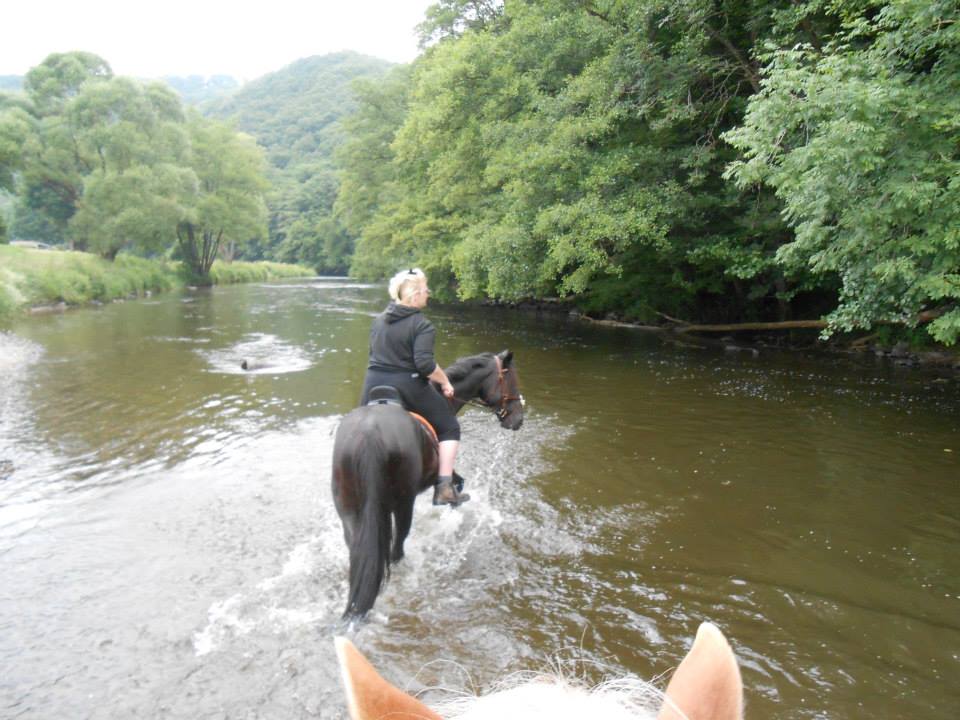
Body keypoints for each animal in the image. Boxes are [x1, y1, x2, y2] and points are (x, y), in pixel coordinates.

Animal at [330, 350, 524, 620]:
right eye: (511, 380)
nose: (518, 420)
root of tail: (369, 434)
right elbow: (456, 485)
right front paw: (452, 508)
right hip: (403, 504)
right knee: (397, 548)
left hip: (349, 511)